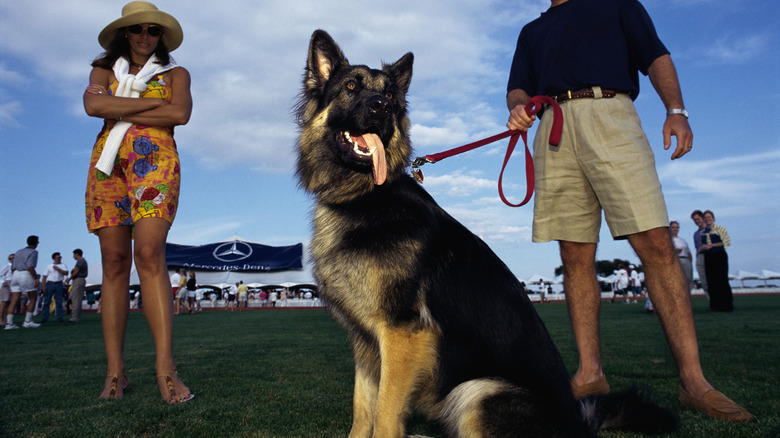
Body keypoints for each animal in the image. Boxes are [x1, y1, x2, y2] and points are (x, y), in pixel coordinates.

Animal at [292, 29, 676, 436]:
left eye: (391, 96)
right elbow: (363, 411)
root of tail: (579, 426)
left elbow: (384, 416)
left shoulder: (402, 336)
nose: (382, 107)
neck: (369, 197)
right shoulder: (366, 344)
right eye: (351, 86)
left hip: (479, 391)